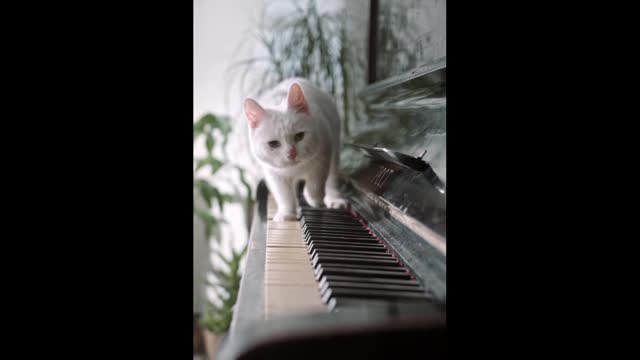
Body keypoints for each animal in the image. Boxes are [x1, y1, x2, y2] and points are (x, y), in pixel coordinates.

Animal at [245, 77, 348, 221]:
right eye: (273, 144)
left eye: (300, 136)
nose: (292, 153)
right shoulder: (273, 173)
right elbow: (284, 194)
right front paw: (287, 213)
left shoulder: (323, 157)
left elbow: (315, 184)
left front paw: (315, 201)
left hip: (335, 144)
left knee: (331, 178)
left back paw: (334, 199)